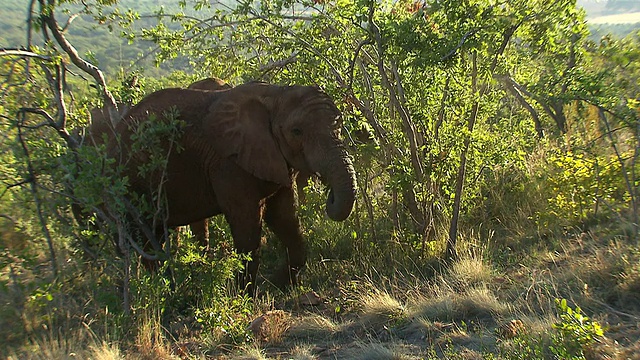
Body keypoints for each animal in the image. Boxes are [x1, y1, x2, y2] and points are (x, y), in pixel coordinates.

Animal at [103, 83, 358, 294]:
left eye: (339, 125)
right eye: (297, 131)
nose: (329, 195)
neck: (275, 94)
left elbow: (286, 218)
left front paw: (278, 286)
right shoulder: (228, 163)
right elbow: (247, 226)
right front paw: (245, 295)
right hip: (128, 184)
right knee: (140, 238)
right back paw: (161, 290)